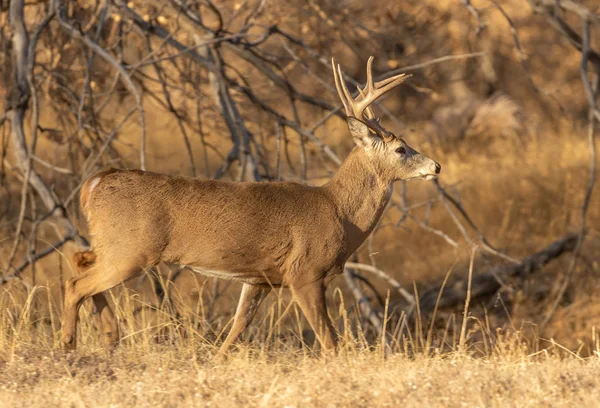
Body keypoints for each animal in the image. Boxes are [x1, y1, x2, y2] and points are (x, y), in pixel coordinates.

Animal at [63, 55, 440, 352]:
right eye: (401, 149)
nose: (435, 166)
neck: (339, 212)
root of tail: (94, 183)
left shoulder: (258, 279)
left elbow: (236, 332)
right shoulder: (304, 272)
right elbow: (329, 341)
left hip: (113, 245)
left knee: (80, 261)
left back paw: (109, 336)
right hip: (132, 249)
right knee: (76, 283)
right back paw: (69, 343)